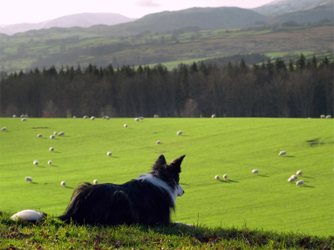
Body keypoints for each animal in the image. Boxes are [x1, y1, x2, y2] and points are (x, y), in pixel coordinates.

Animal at [10, 154, 185, 227]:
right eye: (178, 179)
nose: (183, 191)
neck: (161, 178)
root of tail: (73, 211)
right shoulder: (161, 220)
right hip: (119, 197)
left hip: (84, 185)